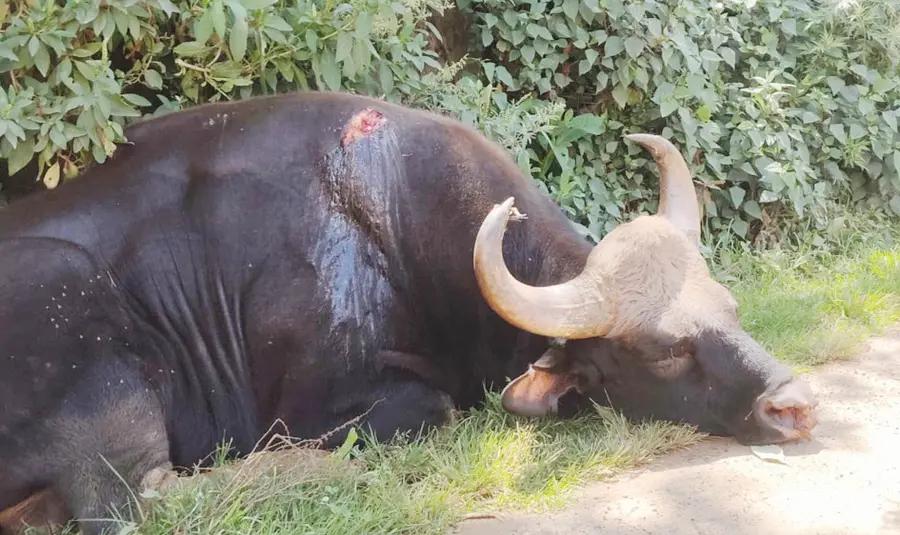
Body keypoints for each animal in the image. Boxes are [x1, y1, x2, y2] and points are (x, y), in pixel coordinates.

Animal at [0, 92, 816, 533]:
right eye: (665, 351)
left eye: (731, 308)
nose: (796, 404)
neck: (387, 220)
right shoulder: (337, 400)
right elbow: (432, 408)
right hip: (78, 306)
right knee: (143, 500)